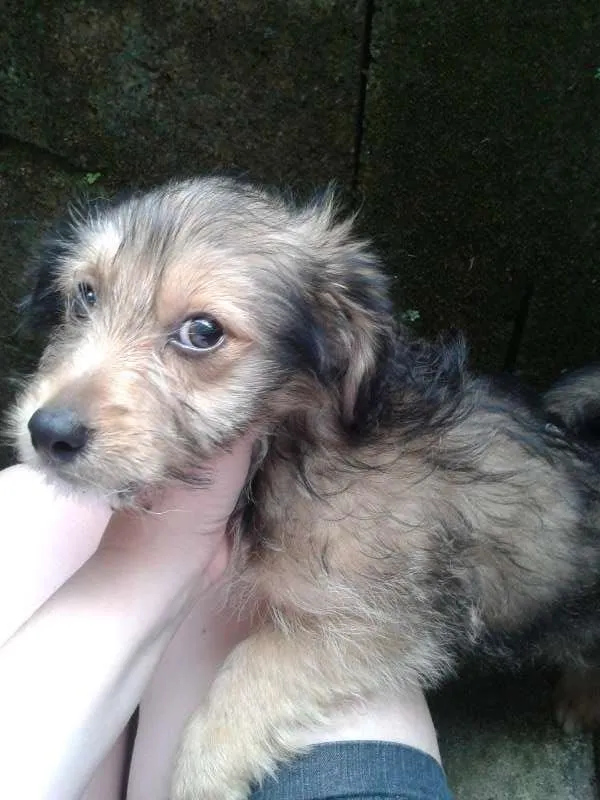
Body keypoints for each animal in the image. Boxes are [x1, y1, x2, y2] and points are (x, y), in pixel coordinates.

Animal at [8, 176, 600, 799]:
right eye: (86, 296)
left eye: (203, 332)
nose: (47, 432)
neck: (295, 443)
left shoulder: (385, 618)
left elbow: (256, 664)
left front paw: (202, 771)